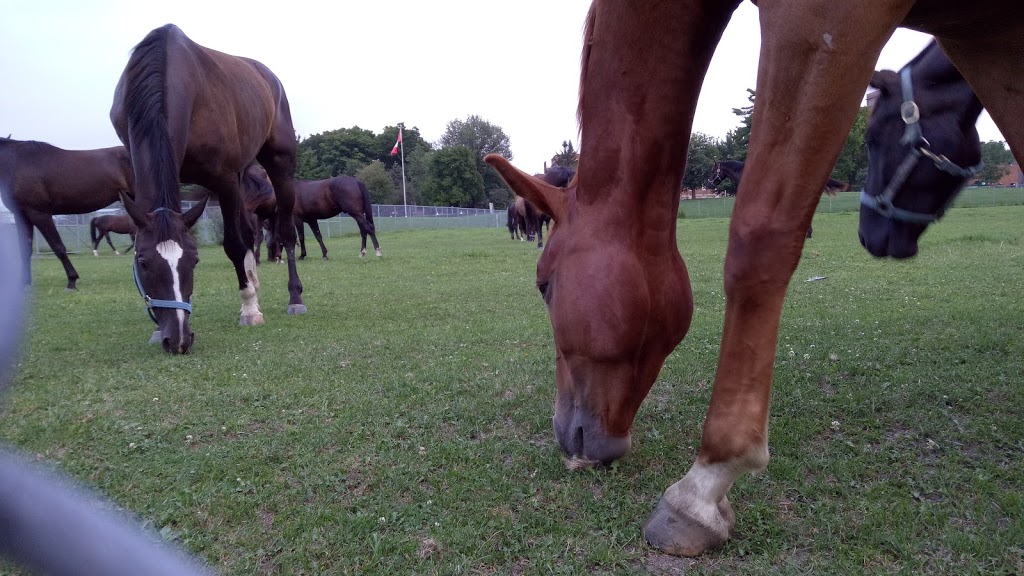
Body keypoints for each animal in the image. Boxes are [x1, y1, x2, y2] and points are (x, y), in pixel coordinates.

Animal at [0, 137, 134, 289]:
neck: (15, 163)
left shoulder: (39, 214)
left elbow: (58, 247)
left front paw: (72, 280)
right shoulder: (21, 215)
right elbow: (25, 249)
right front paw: (24, 283)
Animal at [111, 24, 305, 354]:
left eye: (195, 260)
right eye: (142, 262)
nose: (178, 339)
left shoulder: (224, 179)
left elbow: (234, 245)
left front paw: (250, 310)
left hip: (279, 164)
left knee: (285, 233)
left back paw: (294, 297)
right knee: (251, 232)